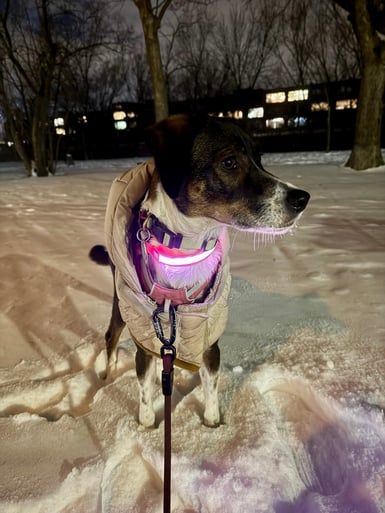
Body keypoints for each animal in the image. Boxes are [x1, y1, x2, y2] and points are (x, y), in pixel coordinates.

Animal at [88, 113, 308, 428]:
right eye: (229, 162)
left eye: (259, 158)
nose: (302, 198)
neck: (186, 249)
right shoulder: (144, 340)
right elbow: (144, 395)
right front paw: (146, 428)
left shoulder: (208, 339)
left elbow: (211, 390)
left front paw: (213, 427)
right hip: (121, 305)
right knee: (111, 338)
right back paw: (107, 376)